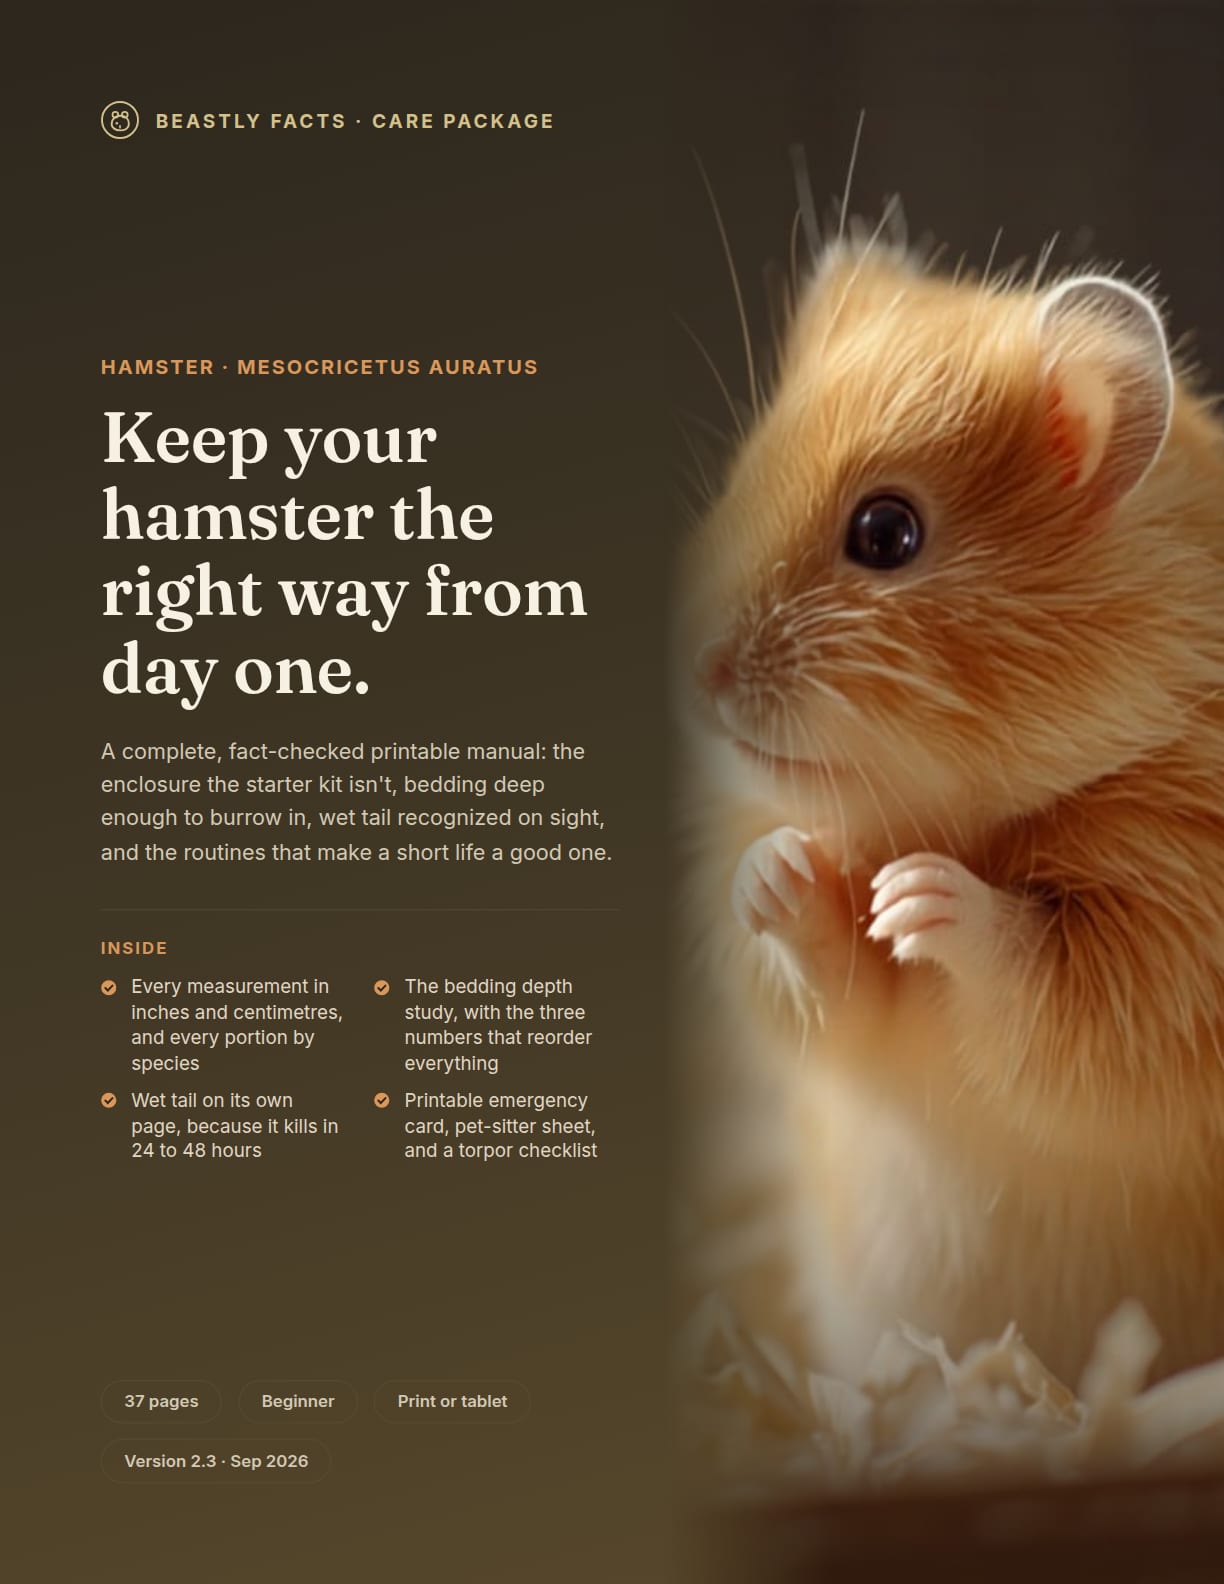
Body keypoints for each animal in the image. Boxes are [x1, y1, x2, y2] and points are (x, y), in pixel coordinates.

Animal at [682, 234, 1224, 1389]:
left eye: (887, 532)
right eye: (746, 480)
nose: (697, 671)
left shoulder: (1174, 942)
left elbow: (1044, 978)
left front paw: (917, 899)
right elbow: (826, 972)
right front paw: (781, 870)